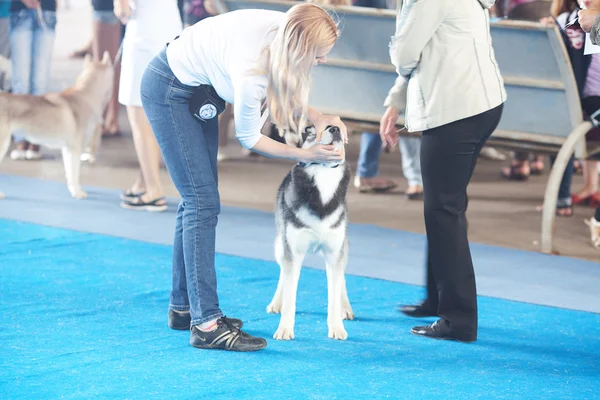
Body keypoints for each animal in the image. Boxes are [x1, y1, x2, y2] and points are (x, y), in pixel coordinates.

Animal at [268, 125, 356, 340]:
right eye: (310, 132)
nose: (335, 128)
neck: (324, 176)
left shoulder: (334, 252)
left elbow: (334, 293)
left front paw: (337, 327)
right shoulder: (292, 251)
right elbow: (290, 295)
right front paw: (285, 328)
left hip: (343, 247)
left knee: (341, 279)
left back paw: (345, 307)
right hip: (280, 246)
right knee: (283, 274)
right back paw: (276, 302)